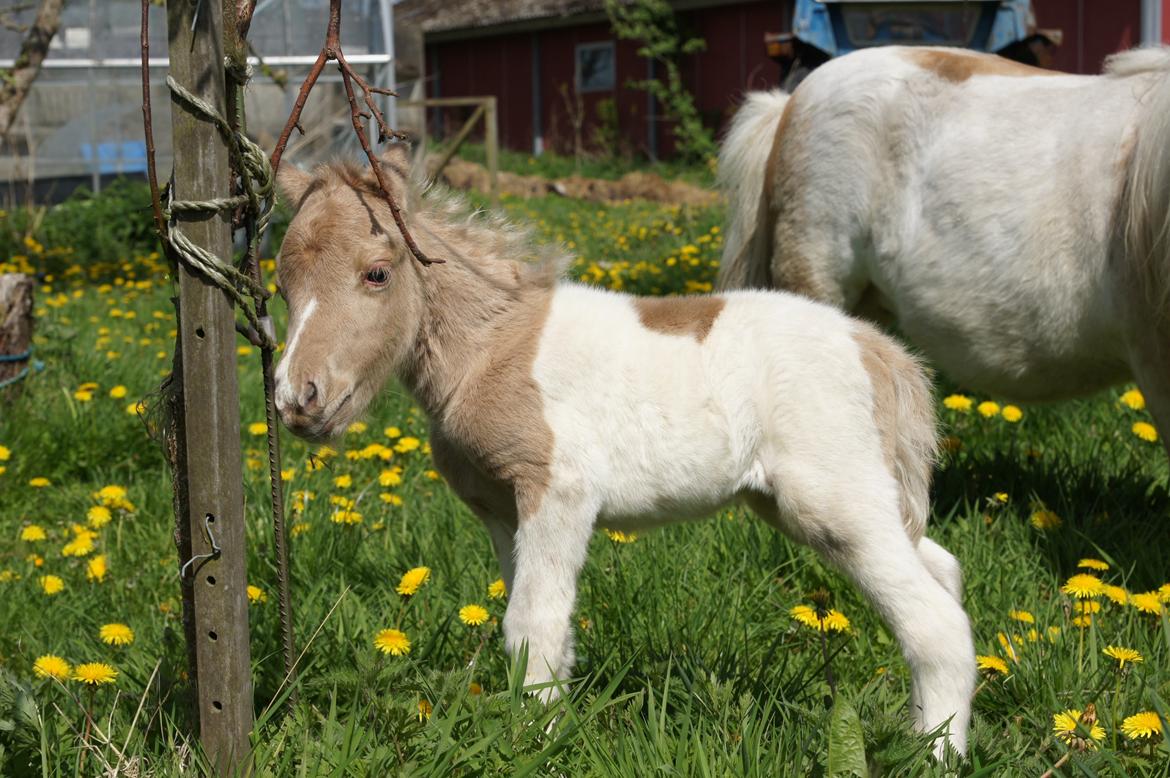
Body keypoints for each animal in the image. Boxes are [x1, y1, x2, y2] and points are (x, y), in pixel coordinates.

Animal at [273, 160, 978, 753]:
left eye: (377, 273)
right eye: (282, 283)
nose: (297, 398)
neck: (493, 346)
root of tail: (879, 349)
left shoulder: (559, 490)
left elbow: (533, 624)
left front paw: (534, 746)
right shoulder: (502, 509)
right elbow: (539, 626)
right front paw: (543, 725)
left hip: (834, 500)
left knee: (936, 623)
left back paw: (937, 755)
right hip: (825, 499)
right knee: (942, 570)